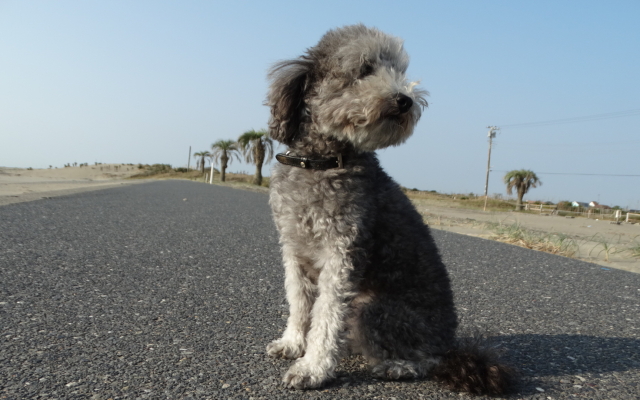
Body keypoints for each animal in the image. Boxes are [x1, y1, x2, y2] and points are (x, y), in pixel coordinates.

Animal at [265, 24, 513, 395]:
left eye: (397, 70)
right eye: (365, 69)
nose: (405, 100)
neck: (321, 163)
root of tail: (450, 345)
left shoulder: (343, 250)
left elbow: (326, 314)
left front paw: (313, 367)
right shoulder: (294, 250)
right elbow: (299, 301)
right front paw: (294, 343)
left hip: (373, 309)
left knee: (429, 360)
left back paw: (397, 366)